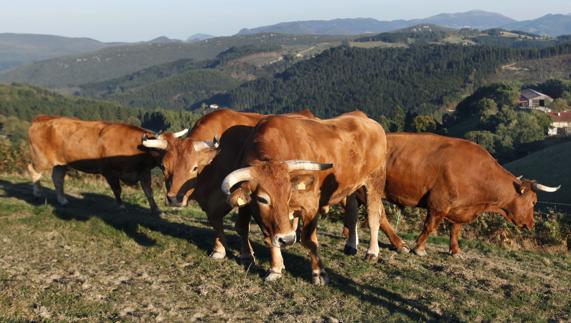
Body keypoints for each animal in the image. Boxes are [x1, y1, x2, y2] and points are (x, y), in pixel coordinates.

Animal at [27, 115, 187, 216]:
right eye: (166, 158)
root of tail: (42, 118)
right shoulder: (110, 172)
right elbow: (117, 190)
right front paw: (121, 206)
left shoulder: (143, 172)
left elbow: (148, 192)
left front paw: (156, 209)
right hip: (42, 159)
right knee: (33, 169)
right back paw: (37, 193)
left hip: (60, 163)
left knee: (57, 178)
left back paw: (63, 200)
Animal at [220, 112, 406, 284]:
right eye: (262, 199)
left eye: (289, 194)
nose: (288, 239)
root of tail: (367, 120)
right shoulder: (262, 215)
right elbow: (269, 238)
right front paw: (275, 269)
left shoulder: (310, 205)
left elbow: (309, 240)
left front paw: (319, 273)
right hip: (351, 186)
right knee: (352, 211)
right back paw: (351, 245)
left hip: (375, 181)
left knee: (374, 215)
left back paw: (372, 252)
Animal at [346, 133, 560, 256]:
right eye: (534, 201)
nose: (530, 224)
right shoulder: (438, 203)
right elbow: (430, 227)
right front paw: (419, 248)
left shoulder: (459, 207)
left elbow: (455, 228)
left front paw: (455, 250)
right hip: (367, 189)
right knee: (380, 215)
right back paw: (399, 244)